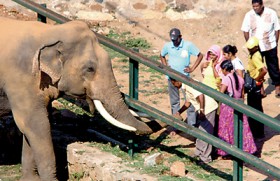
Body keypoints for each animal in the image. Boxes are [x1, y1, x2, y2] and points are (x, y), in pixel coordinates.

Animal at [0, 16, 155, 180]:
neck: (50, 31)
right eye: (90, 69)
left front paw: (31, 179)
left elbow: (33, 125)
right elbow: (35, 124)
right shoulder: (21, 79)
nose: (150, 129)